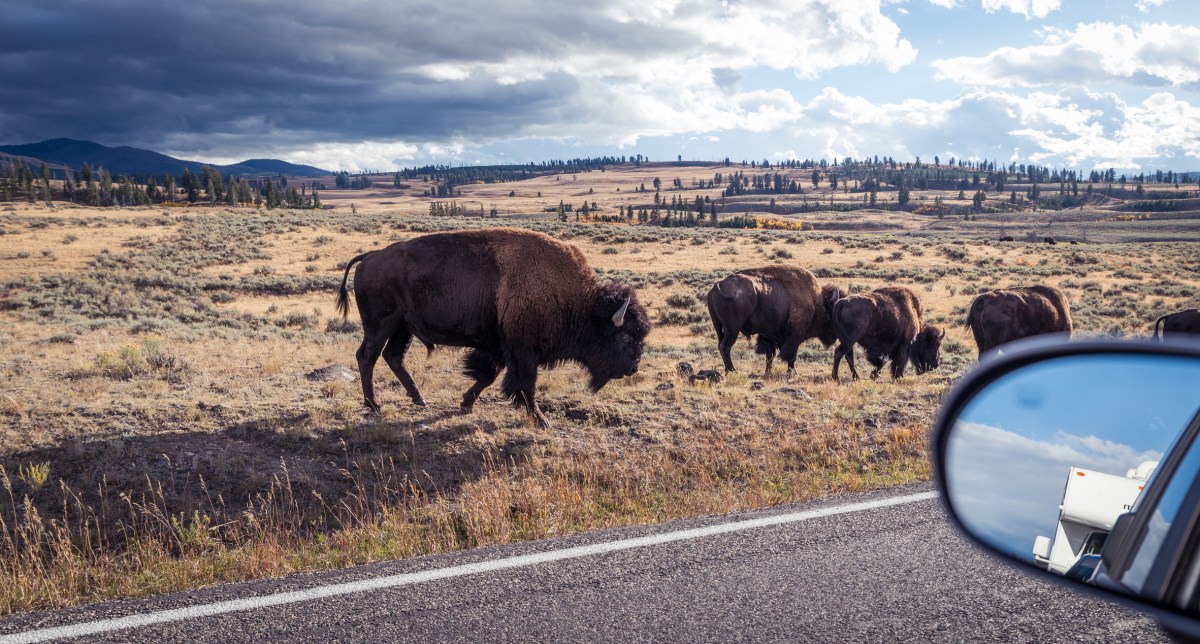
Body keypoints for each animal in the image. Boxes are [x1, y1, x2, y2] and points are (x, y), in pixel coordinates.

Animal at [335, 228, 650, 428]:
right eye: (625, 337)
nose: (633, 368)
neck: (576, 299)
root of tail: (370, 256)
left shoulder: (500, 348)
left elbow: (488, 375)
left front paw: (465, 404)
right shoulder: (523, 352)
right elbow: (525, 384)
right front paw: (541, 420)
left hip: (403, 328)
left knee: (393, 357)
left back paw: (419, 399)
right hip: (381, 325)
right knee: (367, 356)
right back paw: (373, 405)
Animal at [706, 266, 843, 377]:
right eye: (832, 317)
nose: (836, 336)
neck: (816, 301)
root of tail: (716, 287)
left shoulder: (769, 334)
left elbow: (770, 354)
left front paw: (768, 372)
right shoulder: (795, 335)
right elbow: (790, 355)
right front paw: (792, 372)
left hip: (719, 328)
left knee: (721, 345)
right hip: (732, 330)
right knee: (725, 347)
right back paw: (732, 370)